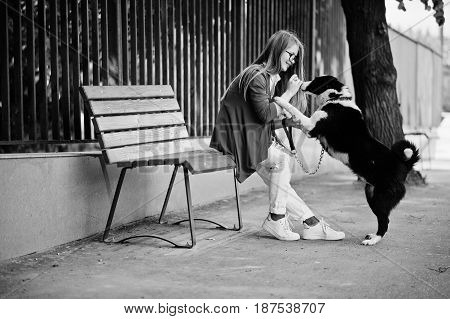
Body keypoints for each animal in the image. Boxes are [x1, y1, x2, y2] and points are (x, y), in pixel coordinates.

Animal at [274, 76, 418, 246]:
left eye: (316, 80)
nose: (301, 82)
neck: (337, 98)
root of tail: (405, 164)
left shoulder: (310, 126)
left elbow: (293, 109)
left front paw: (278, 99)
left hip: (381, 199)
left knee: (385, 221)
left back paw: (373, 241)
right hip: (371, 193)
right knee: (382, 220)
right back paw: (372, 236)